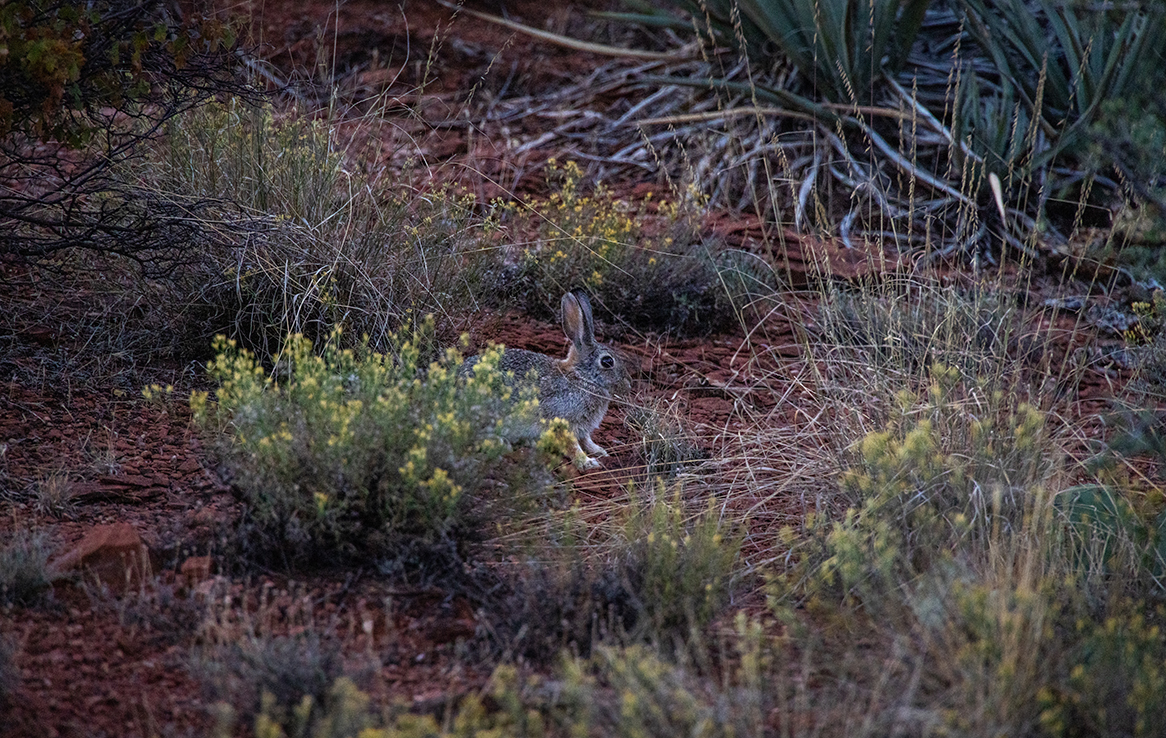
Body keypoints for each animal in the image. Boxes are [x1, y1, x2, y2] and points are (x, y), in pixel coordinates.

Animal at [461, 292, 629, 468]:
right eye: (607, 361)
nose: (628, 385)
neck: (581, 377)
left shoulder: (582, 429)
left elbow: (586, 441)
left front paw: (600, 452)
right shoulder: (561, 421)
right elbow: (572, 446)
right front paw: (586, 462)